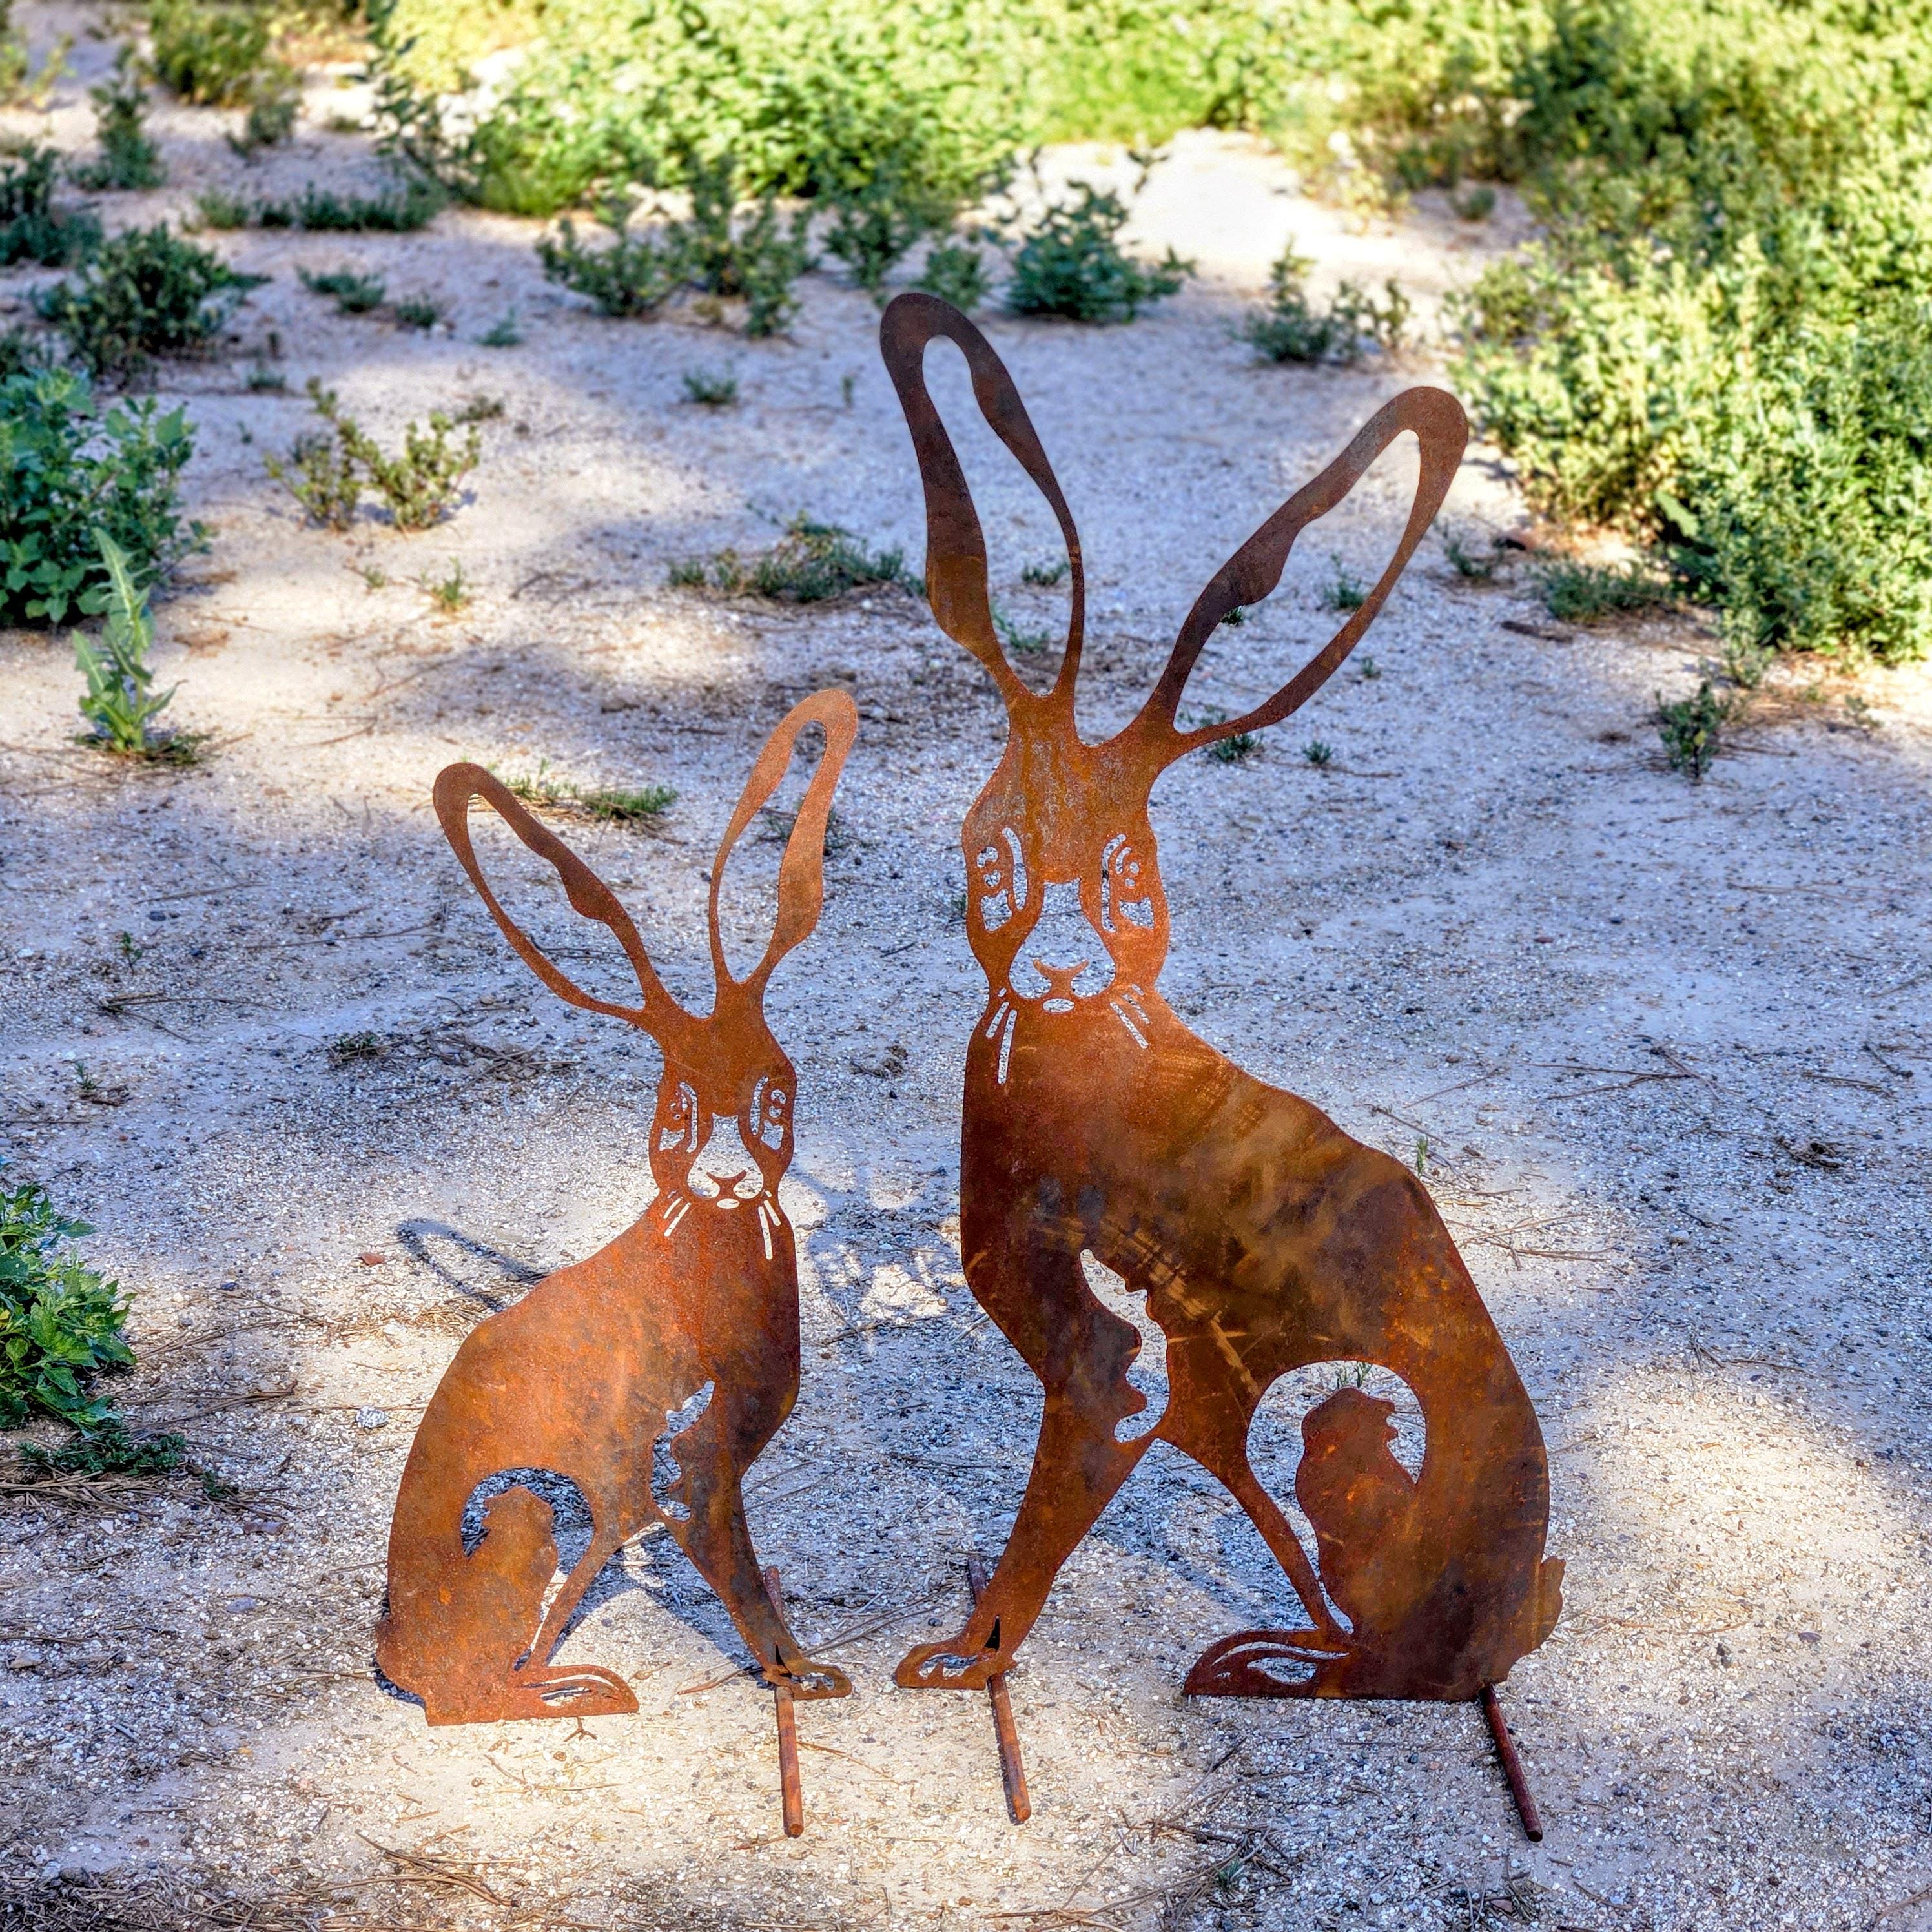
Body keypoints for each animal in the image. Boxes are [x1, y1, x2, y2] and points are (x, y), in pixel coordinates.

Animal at [376, 689, 859, 1726]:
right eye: (676, 1108)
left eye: (777, 1094)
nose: (728, 1180)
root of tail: (396, 1655)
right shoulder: (692, 1473)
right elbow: (739, 1580)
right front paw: (796, 1677)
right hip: (522, 1515)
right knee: (469, 1699)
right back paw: (577, 1690)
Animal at [877, 293, 1563, 1702]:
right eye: (992, 857)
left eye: (1131, 878)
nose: (1061, 966)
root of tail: (1506, 1625)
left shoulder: (1106, 1367)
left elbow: (1053, 1507)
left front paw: (967, 1662)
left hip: (1342, 1432)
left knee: (1364, 1635)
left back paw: (1268, 1664)